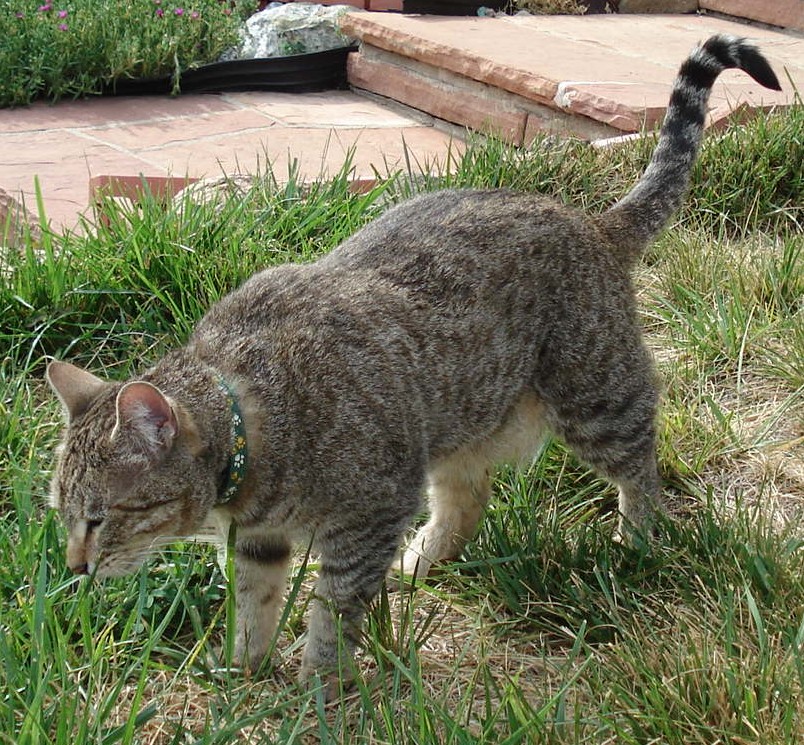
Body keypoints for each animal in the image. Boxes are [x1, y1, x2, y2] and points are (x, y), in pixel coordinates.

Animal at [45, 35, 780, 696]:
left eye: (98, 517)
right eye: (61, 513)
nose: (74, 568)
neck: (250, 419)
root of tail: (589, 221)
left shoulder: (367, 517)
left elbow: (331, 611)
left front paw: (319, 683)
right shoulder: (261, 542)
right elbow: (255, 607)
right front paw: (245, 668)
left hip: (597, 400)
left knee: (640, 462)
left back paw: (638, 537)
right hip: (459, 419)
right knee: (467, 498)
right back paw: (425, 558)